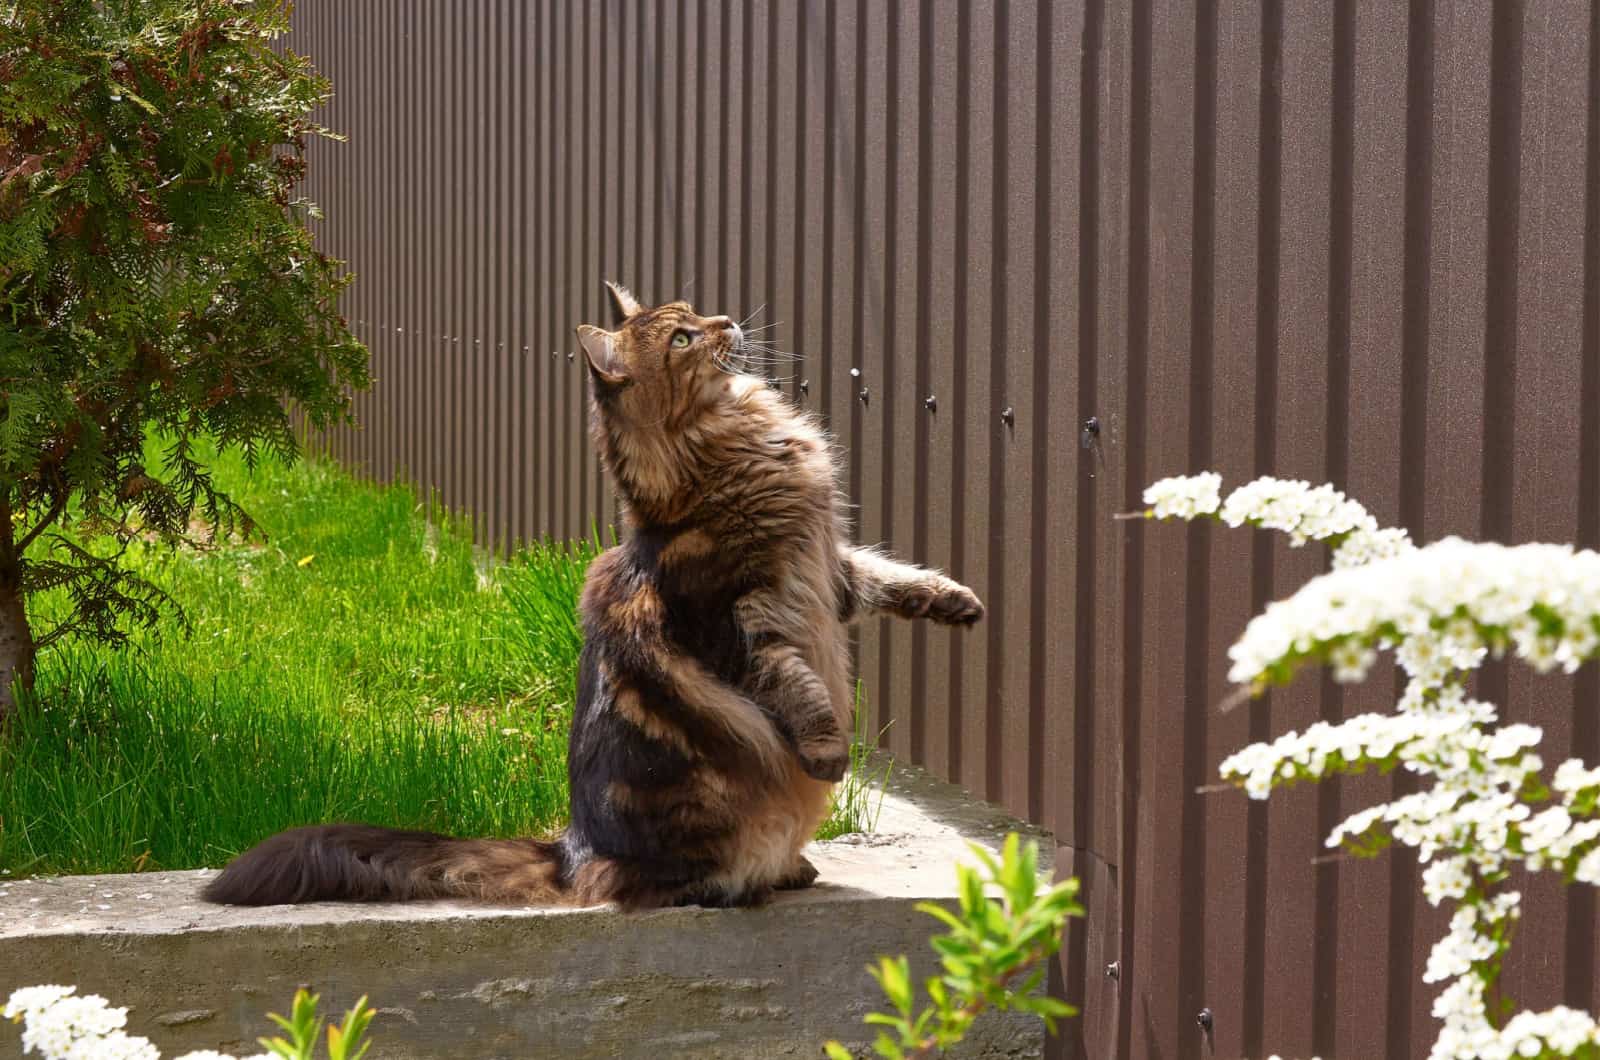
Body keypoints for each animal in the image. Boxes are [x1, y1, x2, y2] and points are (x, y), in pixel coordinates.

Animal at [198, 285, 972, 915]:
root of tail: (574, 851)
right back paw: (754, 881)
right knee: (678, 885)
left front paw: (958, 603)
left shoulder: (825, 569)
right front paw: (829, 752)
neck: (732, 446)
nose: (726, 321)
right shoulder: (743, 619)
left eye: (697, 313)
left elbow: (894, 576)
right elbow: (800, 689)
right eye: (683, 338)